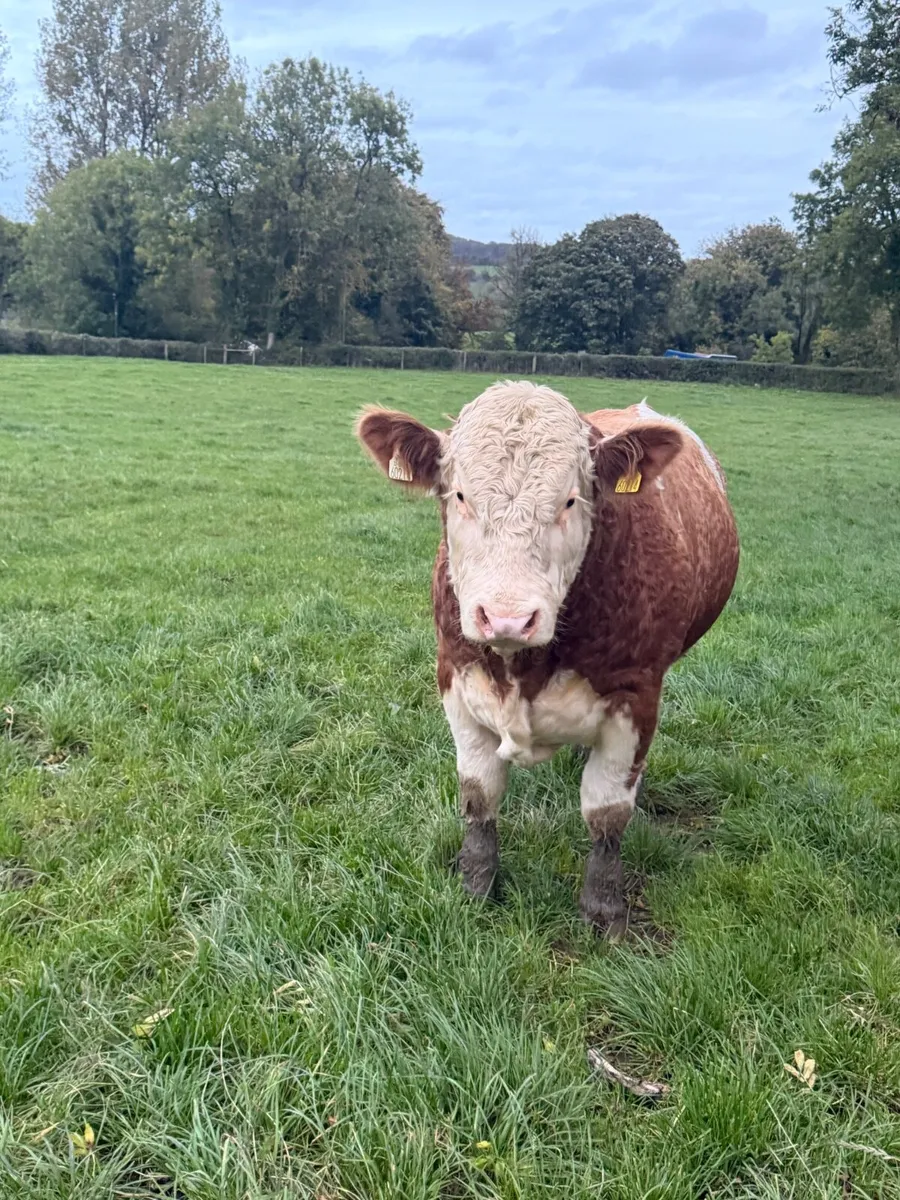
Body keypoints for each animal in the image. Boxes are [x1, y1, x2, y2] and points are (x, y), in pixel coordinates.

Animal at [356, 382, 739, 935]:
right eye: (460, 495)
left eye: (571, 500)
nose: (507, 618)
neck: (522, 668)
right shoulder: (455, 679)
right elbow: (478, 792)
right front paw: (476, 887)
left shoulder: (637, 695)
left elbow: (607, 811)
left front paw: (603, 910)